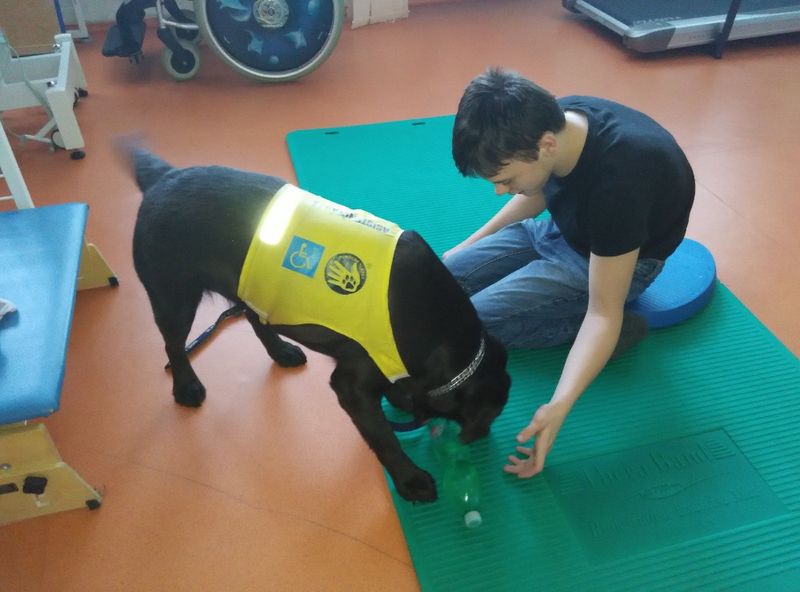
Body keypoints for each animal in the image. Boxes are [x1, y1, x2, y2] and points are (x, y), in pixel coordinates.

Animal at [126, 145, 510, 502]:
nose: (484, 436)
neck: (437, 327)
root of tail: (162, 176)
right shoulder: (351, 384)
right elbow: (385, 439)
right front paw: (410, 480)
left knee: (253, 316)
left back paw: (281, 351)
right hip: (173, 297)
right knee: (174, 345)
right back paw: (186, 387)